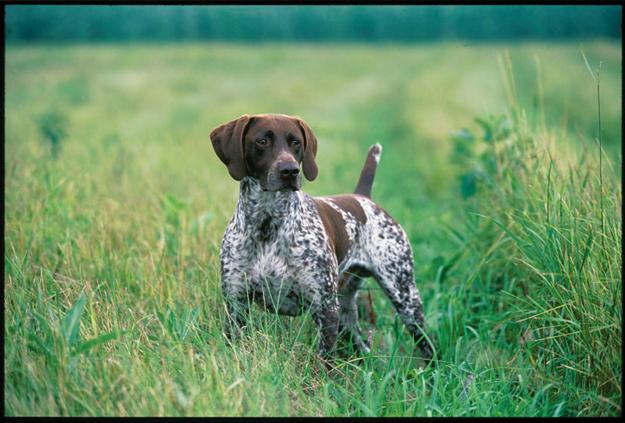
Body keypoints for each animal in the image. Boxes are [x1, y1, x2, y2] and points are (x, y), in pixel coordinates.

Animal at [210, 113, 434, 362]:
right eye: (262, 141)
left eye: (296, 142)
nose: (290, 171)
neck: (267, 224)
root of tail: (362, 198)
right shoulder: (236, 304)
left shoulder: (325, 308)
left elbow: (324, 360)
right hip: (347, 309)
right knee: (360, 342)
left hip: (404, 296)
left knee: (426, 342)